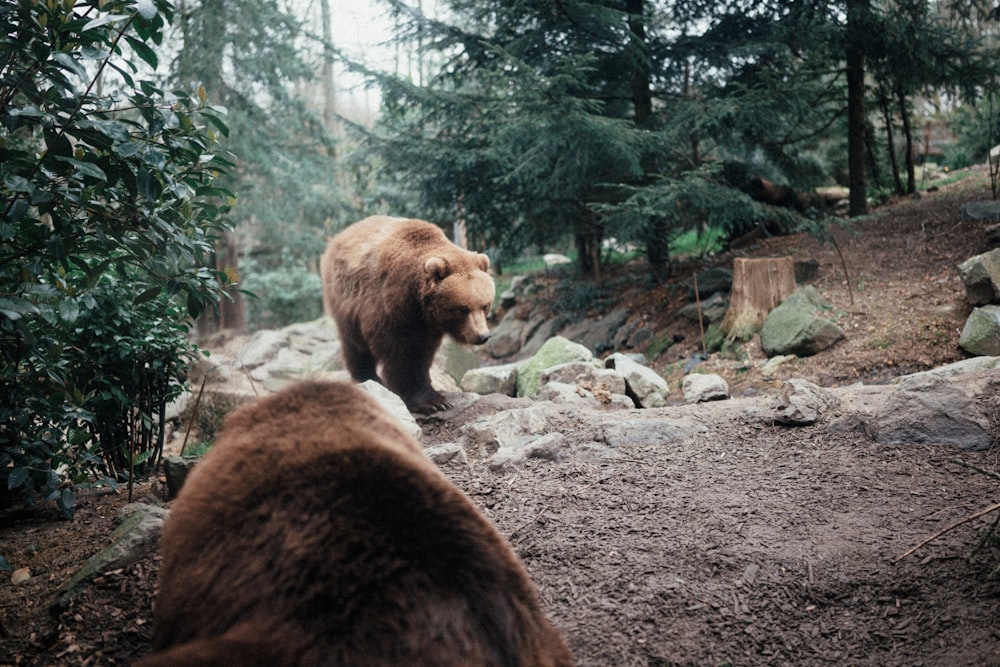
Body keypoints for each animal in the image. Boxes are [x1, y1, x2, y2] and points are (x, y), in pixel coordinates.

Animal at [320, 217, 496, 412]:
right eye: (463, 309)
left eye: (485, 305)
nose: (483, 336)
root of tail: (342, 234)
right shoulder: (391, 305)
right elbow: (403, 352)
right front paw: (432, 401)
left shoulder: (427, 324)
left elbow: (425, 351)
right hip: (345, 300)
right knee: (355, 344)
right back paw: (367, 377)